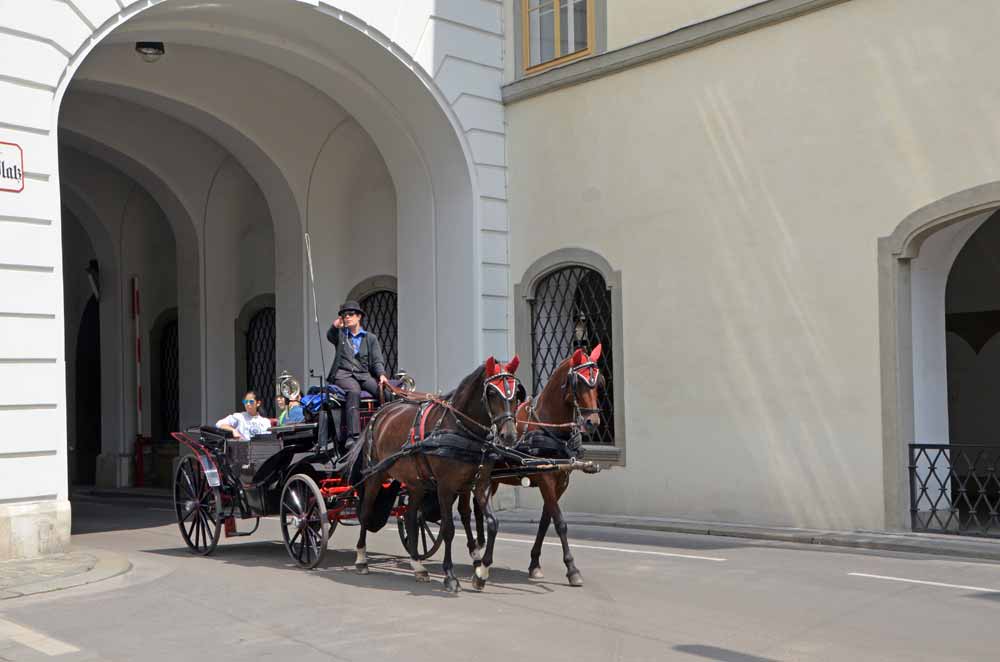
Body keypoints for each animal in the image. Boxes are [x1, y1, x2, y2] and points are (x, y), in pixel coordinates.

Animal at [354, 358, 524, 596]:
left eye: (516, 392)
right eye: (491, 392)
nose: (508, 435)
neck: (462, 429)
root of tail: (380, 412)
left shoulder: (481, 484)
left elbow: (492, 523)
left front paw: (481, 573)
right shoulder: (445, 487)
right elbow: (448, 529)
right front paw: (450, 576)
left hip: (415, 483)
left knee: (410, 516)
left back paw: (417, 565)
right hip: (376, 475)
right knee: (366, 511)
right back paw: (361, 558)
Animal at [460, 344, 600, 588]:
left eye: (598, 381)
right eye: (579, 382)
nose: (593, 422)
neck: (547, 425)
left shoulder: (560, 480)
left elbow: (546, 521)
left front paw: (535, 564)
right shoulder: (545, 479)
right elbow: (560, 522)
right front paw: (572, 568)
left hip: (491, 479)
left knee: (478, 508)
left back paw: (480, 548)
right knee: (464, 510)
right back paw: (475, 552)